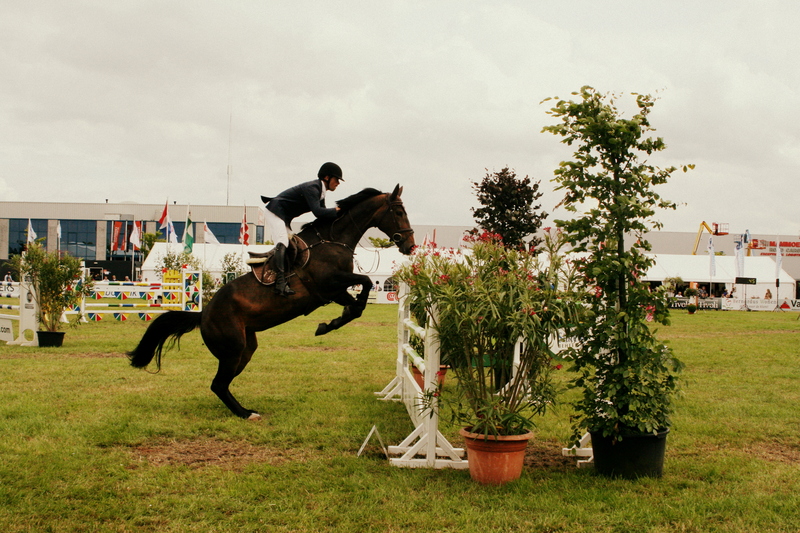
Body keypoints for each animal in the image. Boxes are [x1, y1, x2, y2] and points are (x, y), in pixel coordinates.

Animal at [128, 185, 416, 418]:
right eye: (399, 211)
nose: (410, 245)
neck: (334, 240)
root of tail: (203, 313)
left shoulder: (333, 291)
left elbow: (358, 304)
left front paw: (329, 324)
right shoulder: (330, 283)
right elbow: (365, 283)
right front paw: (331, 322)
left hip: (246, 349)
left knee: (222, 384)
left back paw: (245, 409)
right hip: (232, 348)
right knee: (218, 384)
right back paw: (246, 414)